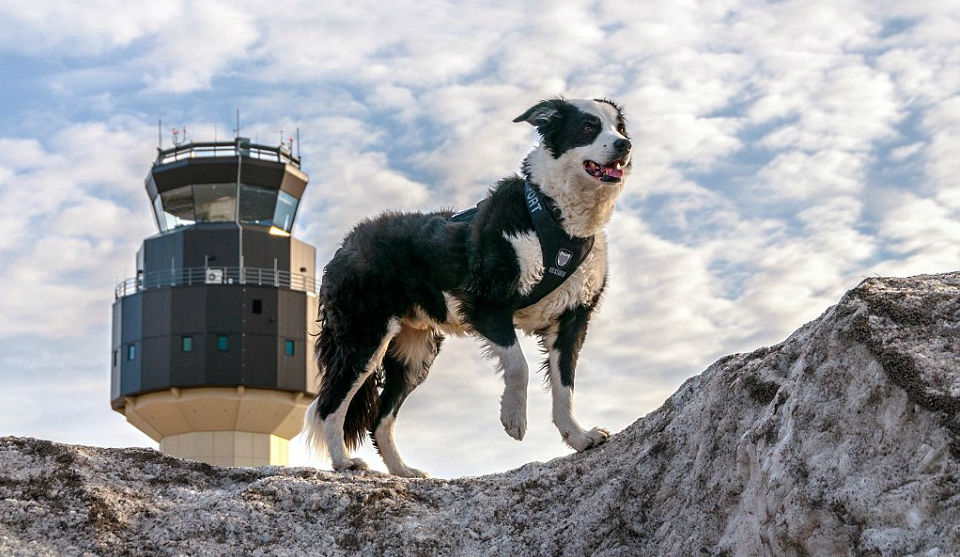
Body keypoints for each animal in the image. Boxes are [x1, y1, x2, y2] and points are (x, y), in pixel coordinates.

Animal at [300, 97, 632, 476]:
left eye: (620, 127)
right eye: (589, 127)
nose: (625, 145)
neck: (558, 218)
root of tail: (347, 243)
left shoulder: (572, 320)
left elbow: (565, 387)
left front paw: (578, 437)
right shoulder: (486, 304)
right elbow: (518, 364)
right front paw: (514, 418)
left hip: (415, 354)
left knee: (380, 418)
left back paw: (402, 471)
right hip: (364, 337)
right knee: (330, 404)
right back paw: (343, 461)